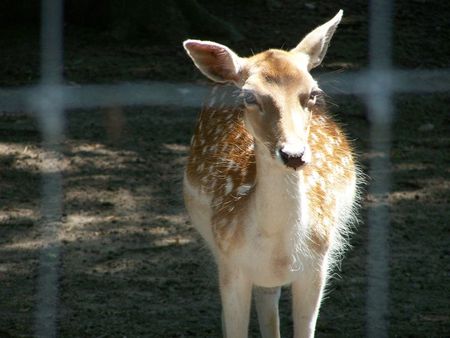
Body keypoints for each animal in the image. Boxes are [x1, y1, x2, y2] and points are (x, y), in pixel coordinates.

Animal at [181, 9, 360, 338]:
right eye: (249, 96)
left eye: (313, 92)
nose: (293, 154)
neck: (279, 248)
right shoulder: (230, 262)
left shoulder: (317, 265)